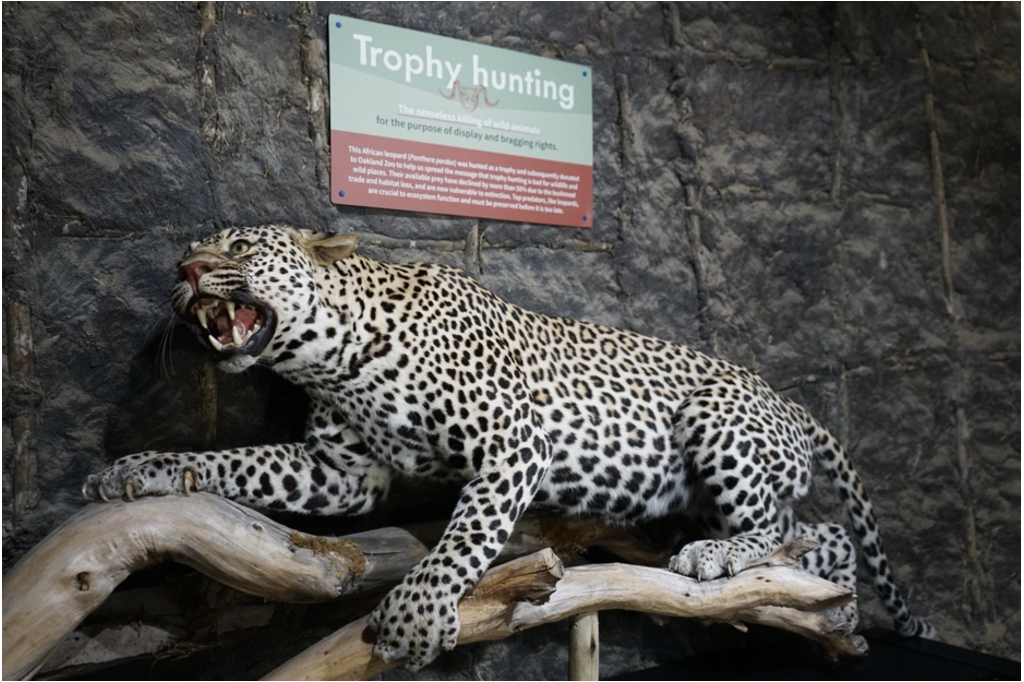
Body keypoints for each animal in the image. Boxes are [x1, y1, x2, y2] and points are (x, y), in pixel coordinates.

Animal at [86, 223, 937, 663]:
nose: (184, 268)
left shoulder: (512, 444)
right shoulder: (335, 472)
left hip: (717, 420)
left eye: (238, 245)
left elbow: (463, 541)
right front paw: (140, 471)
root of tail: (790, 401)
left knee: (788, 530)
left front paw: (415, 616)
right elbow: (230, 463)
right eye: (194, 250)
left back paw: (724, 558)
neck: (330, 356)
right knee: (818, 536)